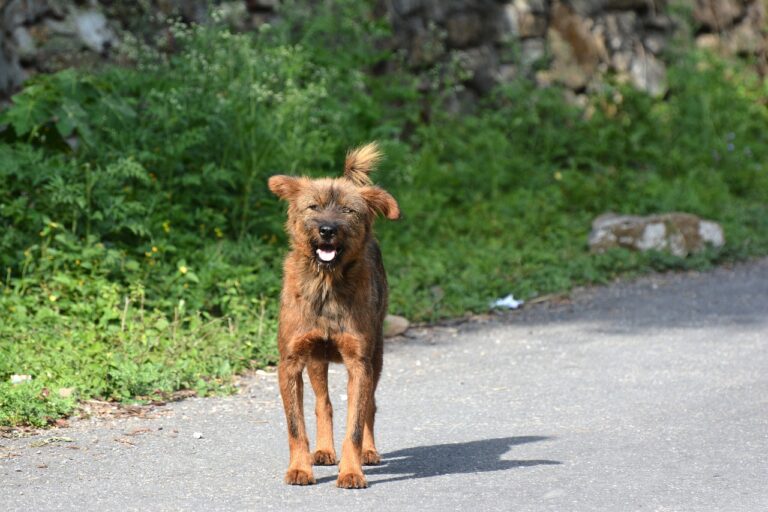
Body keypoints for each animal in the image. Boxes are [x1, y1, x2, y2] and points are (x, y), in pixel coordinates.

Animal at [268, 143, 400, 488]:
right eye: (313, 206)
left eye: (348, 211)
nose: (327, 230)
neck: (326, 286)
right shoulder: (291, 361)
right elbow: (296, 427)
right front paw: (300, 468)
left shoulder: (359, 363)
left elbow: (354, 425)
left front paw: (352, 471)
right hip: (316, 360)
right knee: (322, 404)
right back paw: (324, 450)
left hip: (376, 356)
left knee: (370, 407)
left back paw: (369, 452)